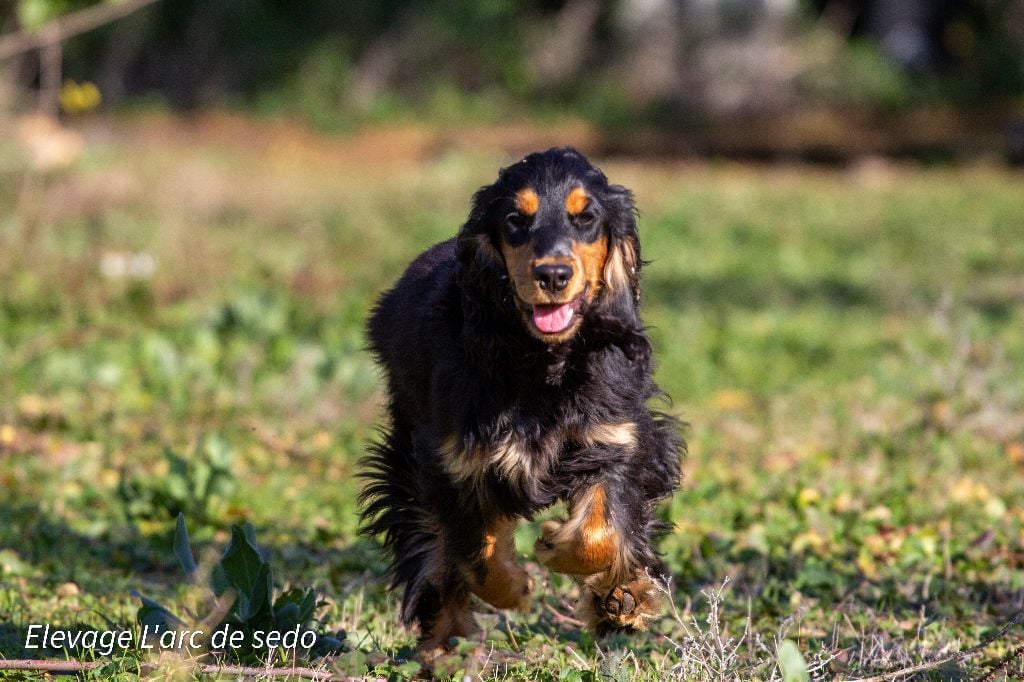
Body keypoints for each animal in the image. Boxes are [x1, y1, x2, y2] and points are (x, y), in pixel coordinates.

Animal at [356, 146, 684, 651]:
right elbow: (476, 553)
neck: (543, 363)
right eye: (515, 219)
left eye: (586, 217)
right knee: (435, 554)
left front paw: (560, 550)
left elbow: (601, 530)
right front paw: (514, 588)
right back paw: (445, 645)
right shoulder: (452, 464)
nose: (553, 274)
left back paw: (622, 597)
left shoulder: (617, 441)